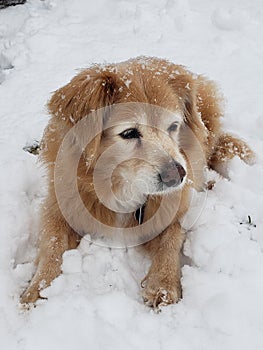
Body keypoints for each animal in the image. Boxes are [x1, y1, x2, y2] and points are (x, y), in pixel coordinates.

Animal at [19, 56, 255, 308]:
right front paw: (39, 288)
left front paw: (163, 283)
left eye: (173, 127)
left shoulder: (175, 206)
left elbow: (171, 239)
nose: (177, 176)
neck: (120, 184)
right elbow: (53, 244)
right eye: (129, 133)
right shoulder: (60, 205)